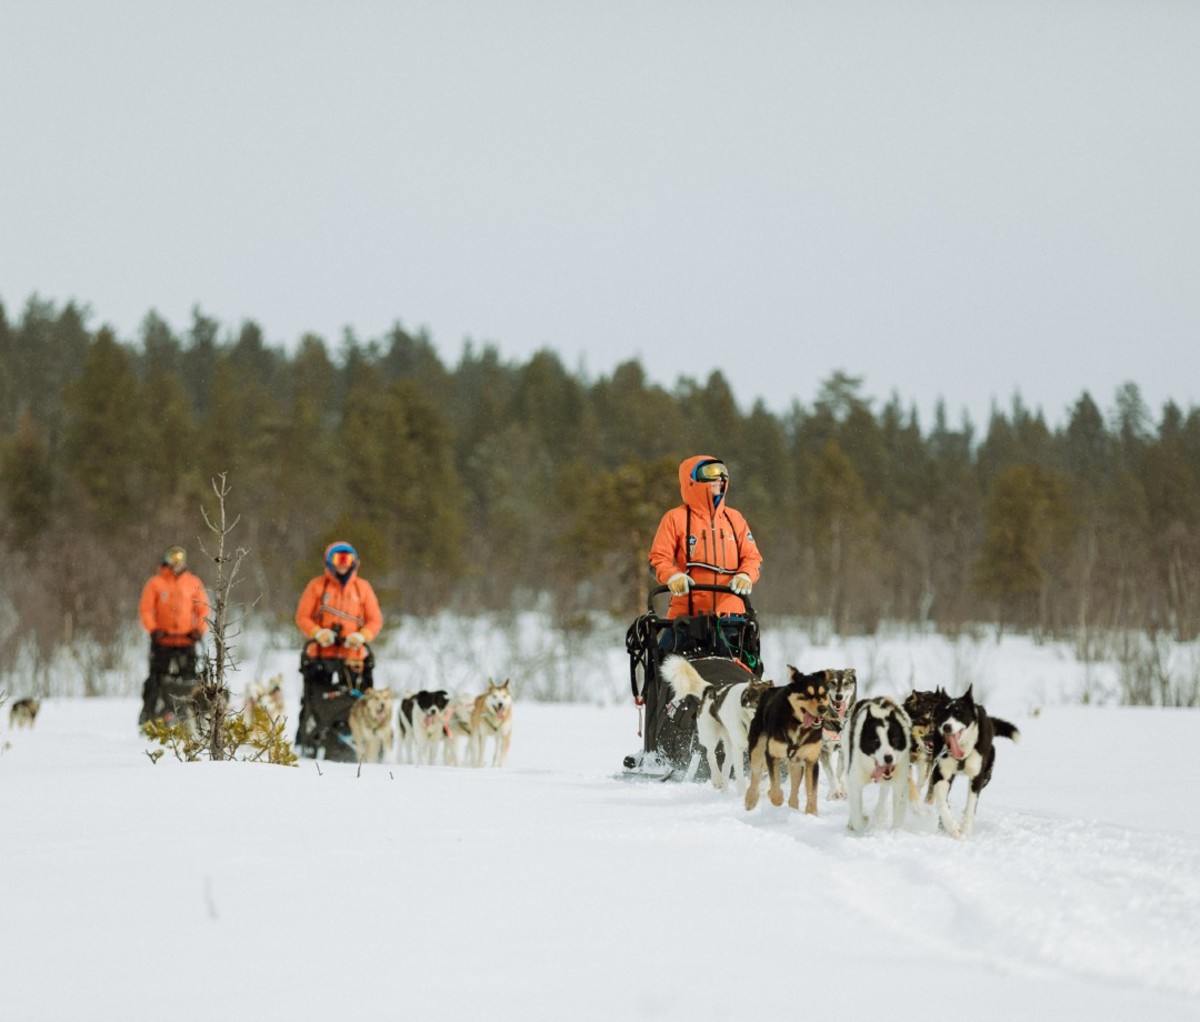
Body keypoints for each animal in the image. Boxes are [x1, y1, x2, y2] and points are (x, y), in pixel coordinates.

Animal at [662, 652, 772, 791]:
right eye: (758, 701)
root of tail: (710, 690)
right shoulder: (739, 748)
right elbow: (740, 775)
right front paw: (742, 792)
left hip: (728, 744)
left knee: (725, 766)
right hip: (710, 736)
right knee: (710, 755)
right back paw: (717, 780)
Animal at [739, 666, 825, 820]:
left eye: (824, 694)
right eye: (806, 694)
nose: (823, 709)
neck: (799, 726)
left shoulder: (811, 761)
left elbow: (812, 791)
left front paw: (811, 814)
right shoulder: (772, 755)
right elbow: (775, 784)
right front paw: (776, 798)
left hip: (796, 764)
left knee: (794, 789)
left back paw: (793, 806)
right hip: (757, 751)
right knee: (756, 774)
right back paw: (751, 798)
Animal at [820, 666, 859, 801]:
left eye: (846, 683)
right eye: (833, 682)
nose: (839, 696)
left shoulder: (844, 749)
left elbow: (839, 774)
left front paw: (841, 792)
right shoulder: (824, 749)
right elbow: (831, 774)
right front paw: (836, 792)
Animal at [844, 695, 907, 830]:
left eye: (894, 739)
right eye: (875, 741)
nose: (888, 758)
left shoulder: (900, 782)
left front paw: (895, 831)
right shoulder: (855, 781)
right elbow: (858, 820)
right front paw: (863, 822)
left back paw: (880, 813)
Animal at [926, 686, 1022, 839]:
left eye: (959, 713)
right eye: (943, 714)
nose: (947, 726)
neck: (962, 752)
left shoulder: (977, 777)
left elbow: (971, 805)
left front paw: (965, 829)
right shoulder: (941, 775)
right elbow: (942, 803)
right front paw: (953, 828)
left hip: (986, 776)